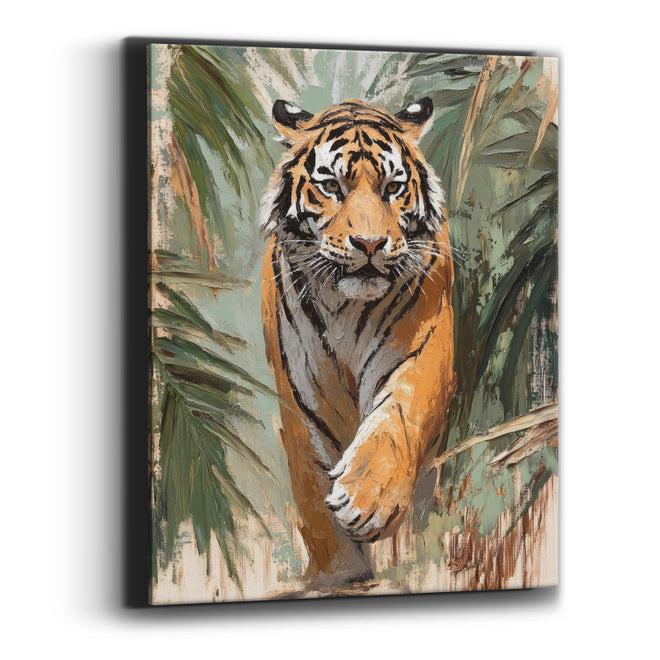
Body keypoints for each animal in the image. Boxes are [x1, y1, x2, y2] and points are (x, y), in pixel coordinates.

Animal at [260, 98, 455, 587]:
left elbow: (396, 420)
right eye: (331, 186)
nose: (370, 244)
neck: (345, 306)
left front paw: (368, 500)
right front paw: (339, 574)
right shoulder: (301, 394)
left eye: (392, 188)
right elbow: (312, 487)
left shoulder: (419, 353)